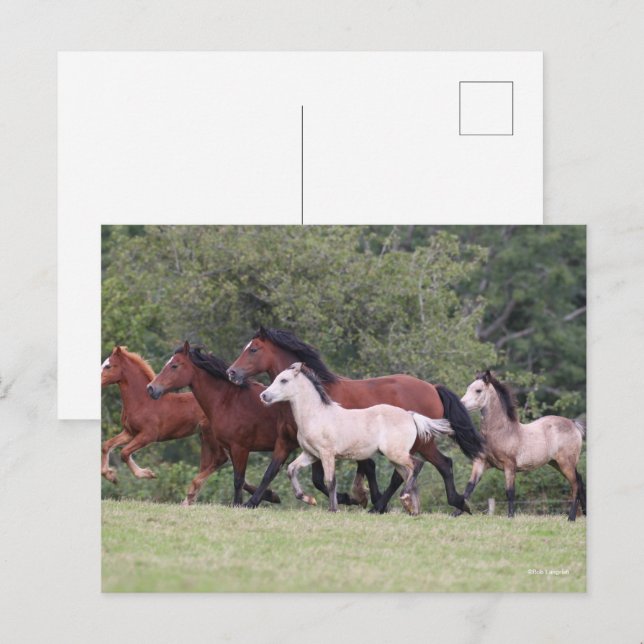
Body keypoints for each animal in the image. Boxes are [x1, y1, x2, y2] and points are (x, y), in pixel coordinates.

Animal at [101, 346, 278, 506]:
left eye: (108, 366)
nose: (98, 381)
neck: (142, 401)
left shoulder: (148, 435)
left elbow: (124, 453)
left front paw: (147, 474)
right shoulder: (129, 432)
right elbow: (107, 445)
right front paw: (110, 475)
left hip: (208, 434)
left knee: (219, 459)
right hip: (207, 437)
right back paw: (270, 495)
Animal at [260, 362, 455, 514]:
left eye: (284, 380)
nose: (263, 396)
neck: (316, 415)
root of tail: (410, 415)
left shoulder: (327, 454)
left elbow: (330, 481)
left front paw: (333, 509)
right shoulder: (311, 454)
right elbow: (291, 470)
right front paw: (308, 499)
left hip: (396, 453)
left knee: (417, 465)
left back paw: (405, 498)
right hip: (395, 457)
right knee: (407, 473)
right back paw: (412, 508)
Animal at [459, 370, 586, 521]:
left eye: (478, 390)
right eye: (468, 388)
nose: (460, 404)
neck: (502, 432)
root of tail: (573, 424)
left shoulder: (509, 466)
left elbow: (510, 492)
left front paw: (510, 517)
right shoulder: (481, 462)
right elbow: (469, 488)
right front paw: (454, 514)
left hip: (566, 464)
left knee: (575, 486)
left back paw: (571, 518)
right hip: (557, 464)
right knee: (579, 482)